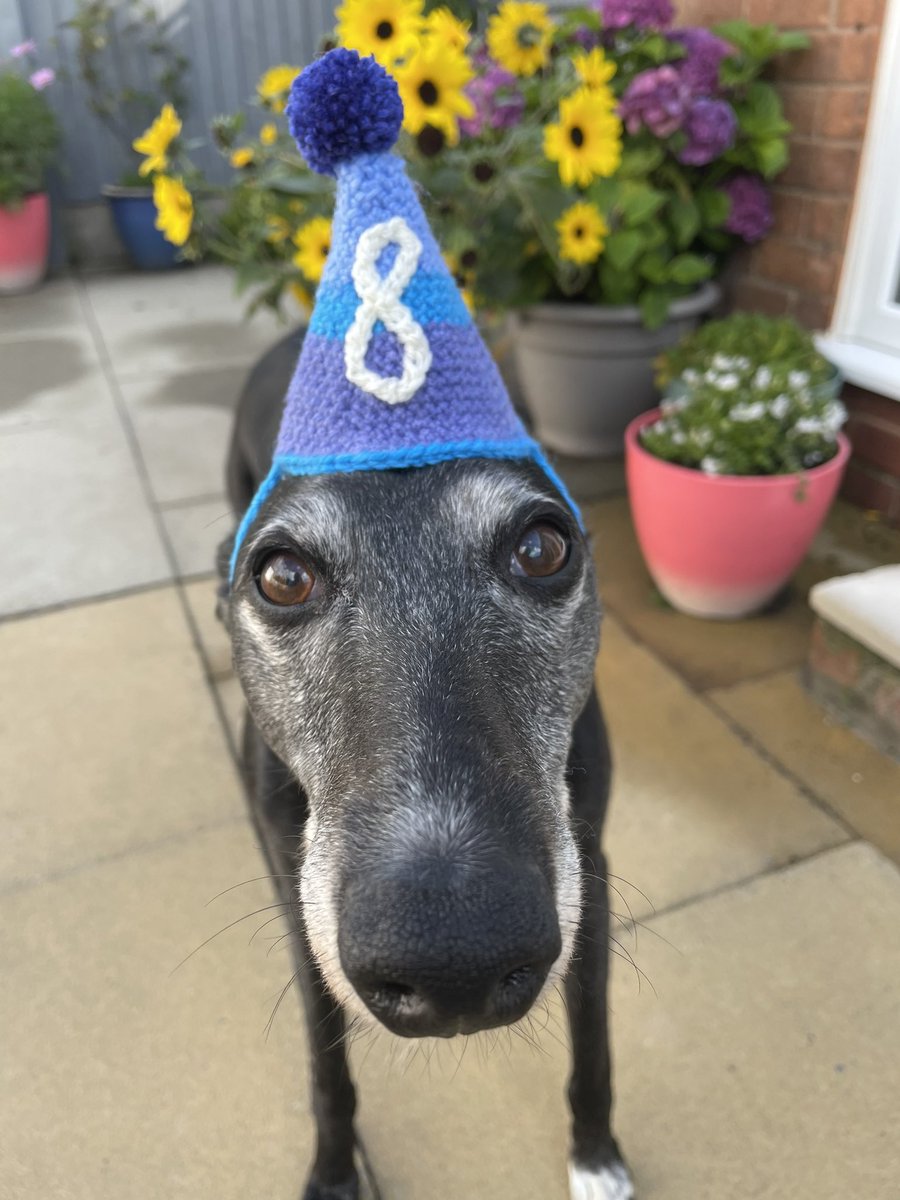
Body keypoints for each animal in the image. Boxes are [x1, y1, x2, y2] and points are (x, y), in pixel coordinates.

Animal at [219, 331, 638, 1200]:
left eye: (542, 547)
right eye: (283, 576)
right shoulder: (298, 906)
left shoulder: (591, 879)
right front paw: (334, 1172)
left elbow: (594, 1045)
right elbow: (327, 1066)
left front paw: (595, 1156)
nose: (455, 955)